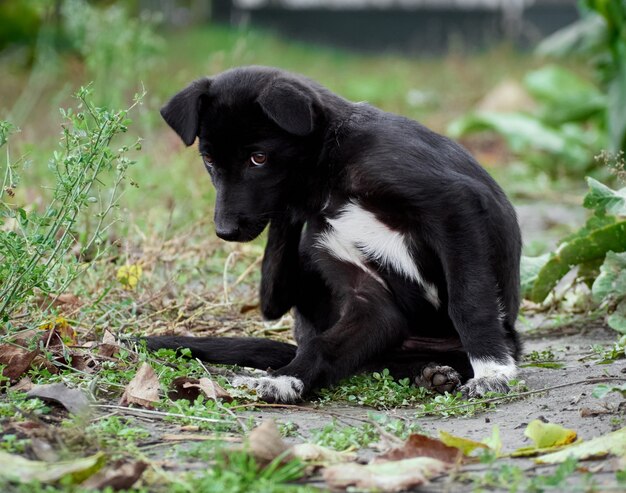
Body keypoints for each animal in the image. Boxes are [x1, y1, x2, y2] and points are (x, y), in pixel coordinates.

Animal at [151, 66, 520, 404]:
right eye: (209, 160)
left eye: (258, 158)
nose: (224, 231)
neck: (331, 169)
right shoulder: (364, 292)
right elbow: (323, 344)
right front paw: (284, 381)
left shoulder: (453, 207)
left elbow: (468, 300)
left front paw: (492, 370)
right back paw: (428, 373)